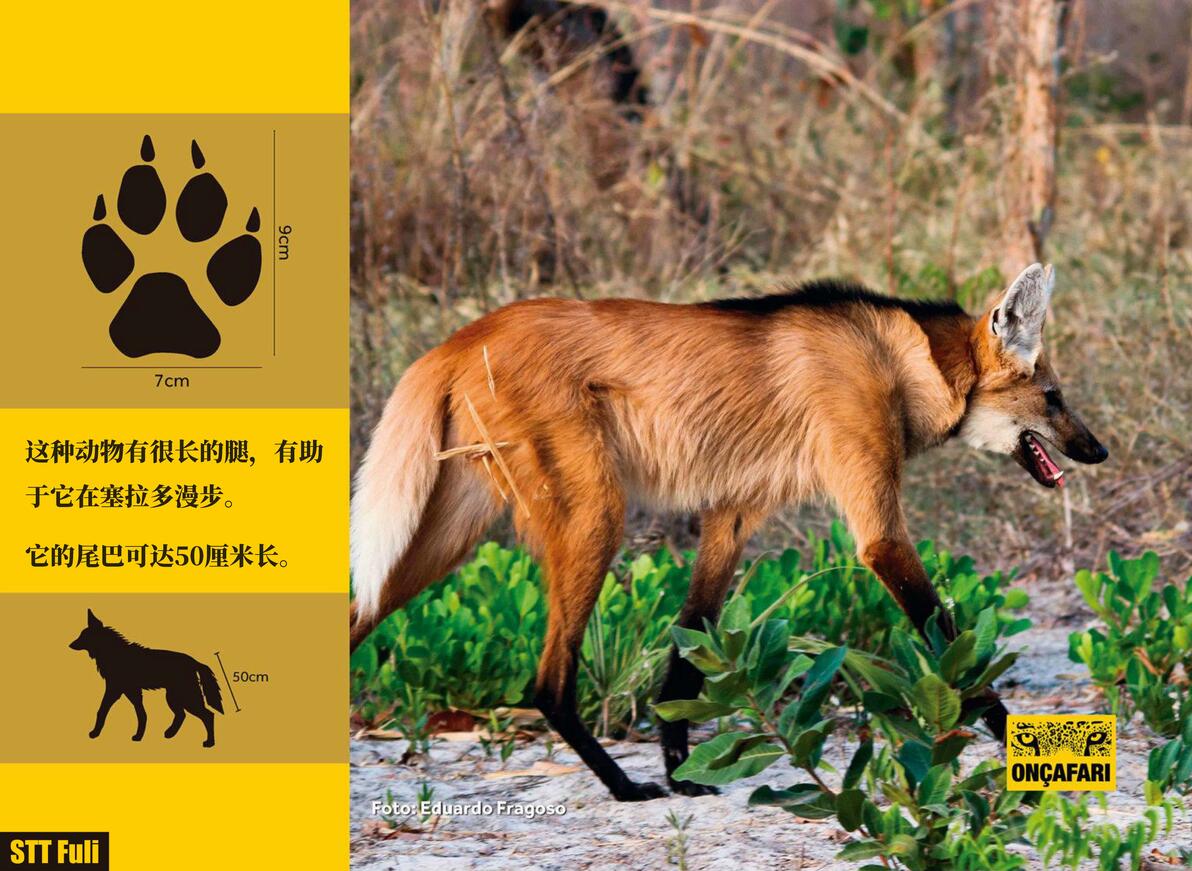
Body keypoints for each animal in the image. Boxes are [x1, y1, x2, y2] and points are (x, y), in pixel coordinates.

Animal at [69, 610, 223, 748]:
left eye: (84, 636)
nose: (70, 645)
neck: (113, 653)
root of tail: (194, 661)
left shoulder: (115, 690)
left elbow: (102, 710)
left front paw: (95, 733)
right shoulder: (132, 692)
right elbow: (141, 714)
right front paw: (139, 736)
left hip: (187, 697)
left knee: (208, 715)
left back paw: (210, 743)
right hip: (173, 697)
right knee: (181, 715)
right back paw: (170, 733)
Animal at [350, 263, 1107, 800]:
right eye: (1053, 398)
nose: (1098, 450)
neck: (906, 365)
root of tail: (463, 337)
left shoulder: (733, 515)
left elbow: (691, 638)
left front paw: (682, 764)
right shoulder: (876, 526)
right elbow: (946, 639)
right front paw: (1028, 750)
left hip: (446, 534)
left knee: (360, 606)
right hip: (594, 515)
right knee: (547, 681)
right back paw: (622, 787)